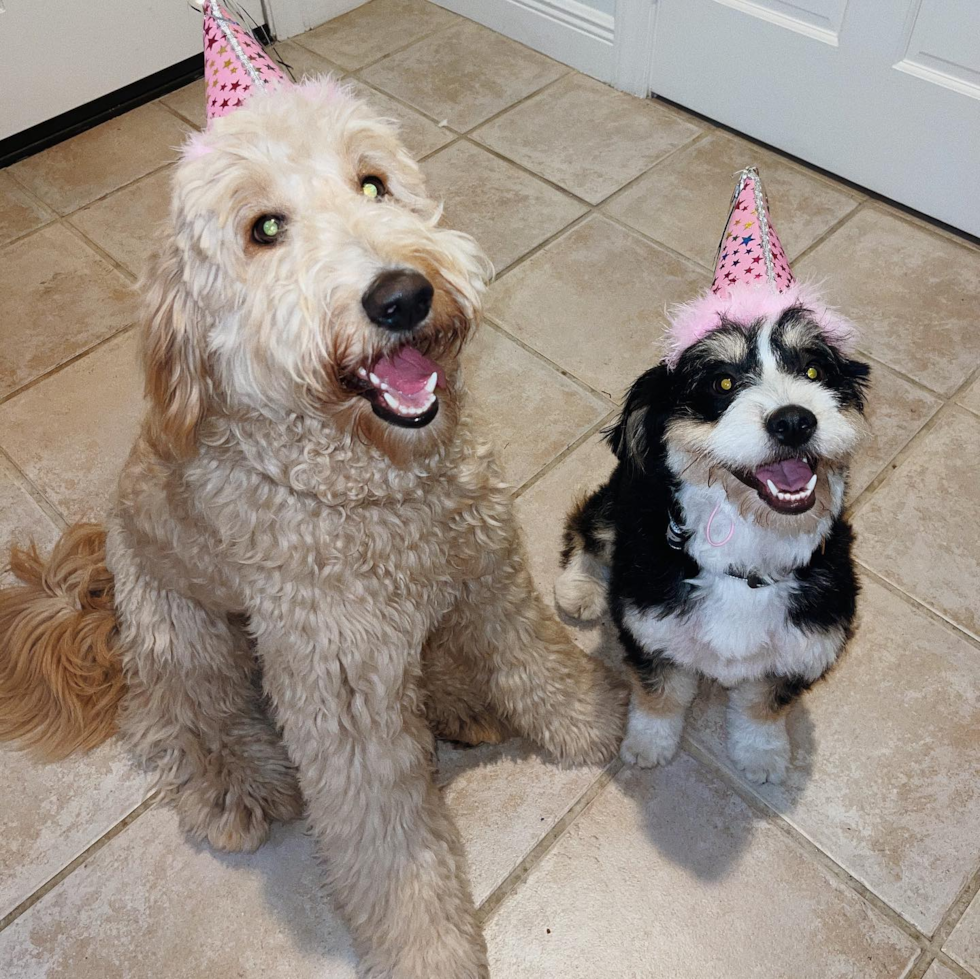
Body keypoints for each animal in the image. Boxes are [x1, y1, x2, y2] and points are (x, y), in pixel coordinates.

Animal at [0, 80, 628, 976]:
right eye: (264, 228)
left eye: (372, 183)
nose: (402, 296)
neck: (378, 486)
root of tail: (91, 590)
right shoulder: (343, 692)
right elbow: (390, 843)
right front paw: (431, 947)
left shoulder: (490, 570)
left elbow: (535, 659)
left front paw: (591, 718)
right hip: (186, 633)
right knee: (175, 715)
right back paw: (236, 782)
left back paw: (454, 695)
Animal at [556, 302, 868, 784]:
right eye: (722, 382)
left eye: (814, 370)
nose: (794, 421)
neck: (746, 559)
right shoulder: (648, 626)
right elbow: (660, 693)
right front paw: (648, 744)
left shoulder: (807, 643)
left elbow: (764, 703)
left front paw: (761, 754)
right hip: (624, 497)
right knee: (587, 523)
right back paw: (580, 587)